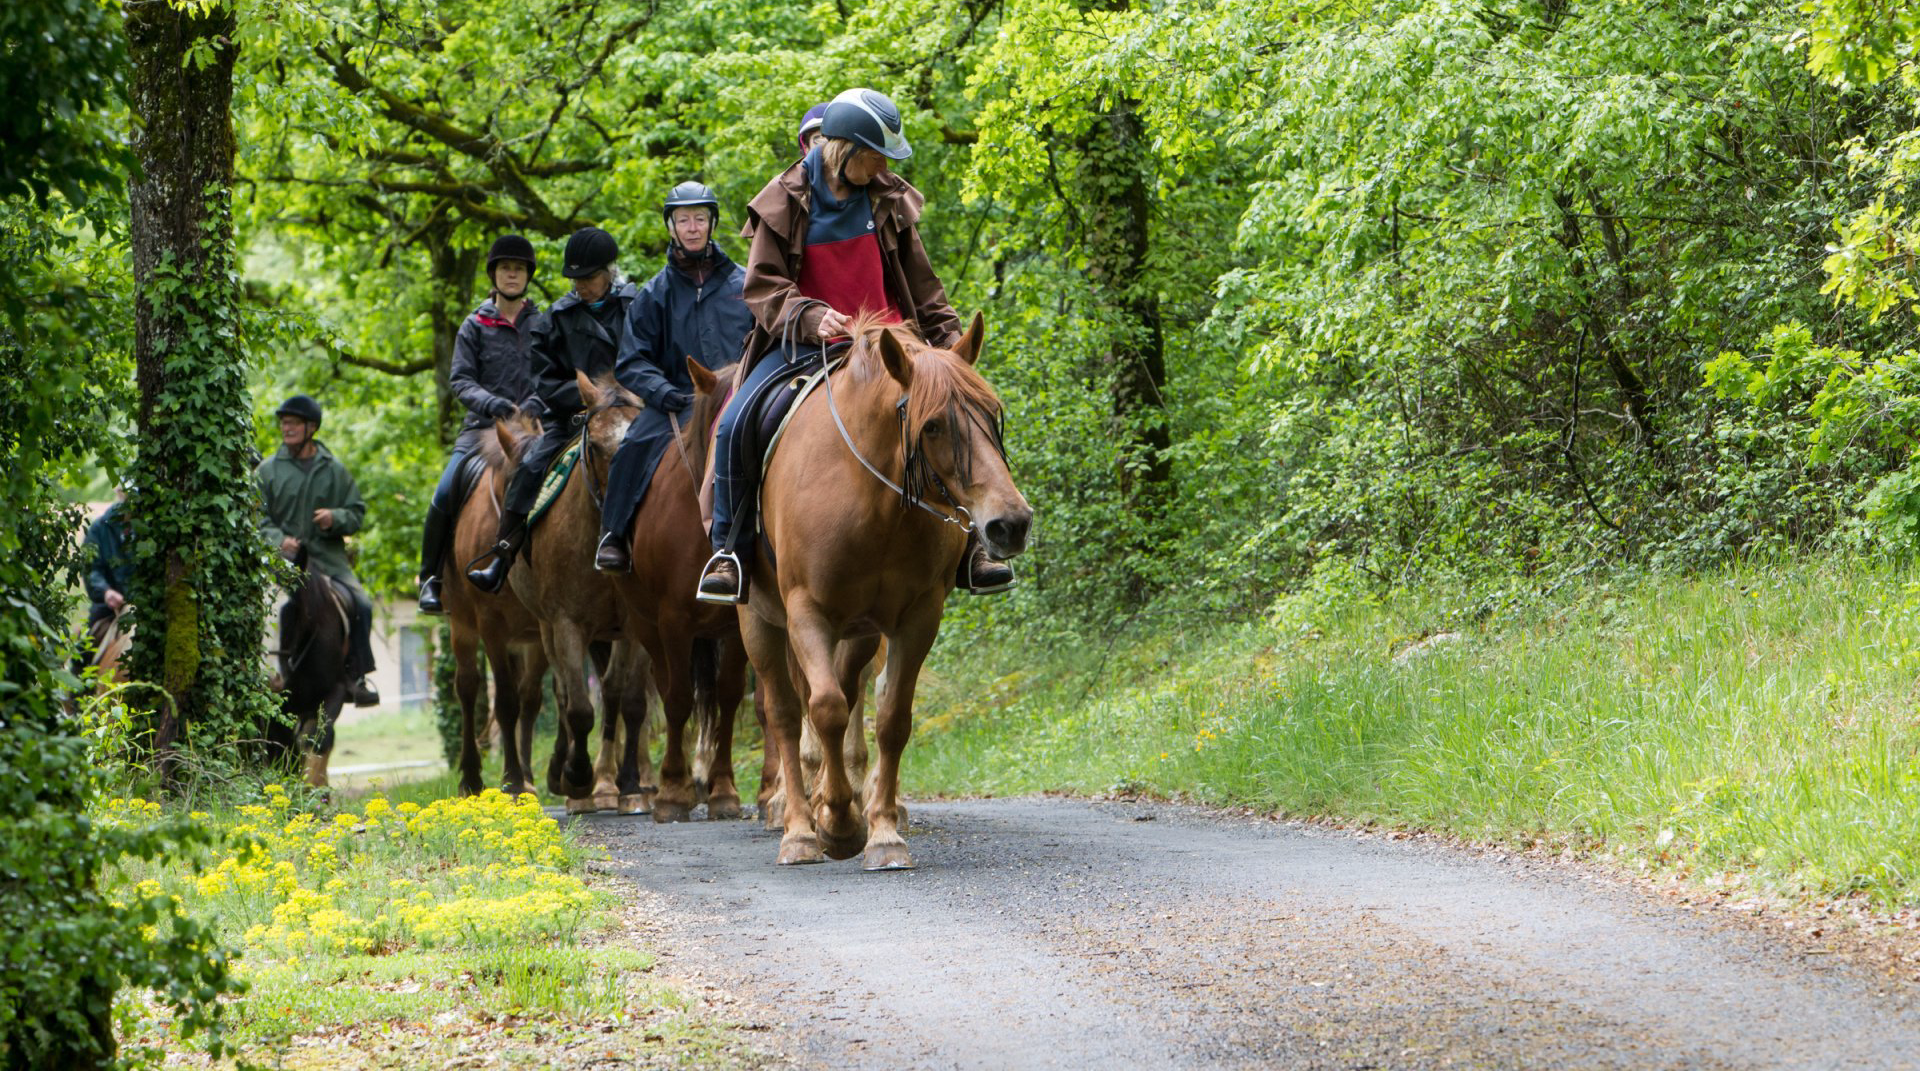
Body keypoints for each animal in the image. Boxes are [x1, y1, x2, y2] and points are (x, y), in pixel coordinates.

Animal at [445, 412, 552, 797]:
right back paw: (471, 778)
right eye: (520, 485)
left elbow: (530, 700)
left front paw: (526, 778)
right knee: (467, 688)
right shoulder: (491, 626)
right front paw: (512, 781)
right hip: (461, 626)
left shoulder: (542, 631)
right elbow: (505, 702)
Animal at [496, 384, 656, 814]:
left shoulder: (635, 628)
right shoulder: (566, 624)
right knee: (566, 694)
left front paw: (630, 786)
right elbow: (580, 709)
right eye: (596, 445)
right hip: (546, 629)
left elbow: (630, 701)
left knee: (611, 691)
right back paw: (570, 780)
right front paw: (577, 777)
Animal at [590, 366, 749, 823]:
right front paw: (673, 792)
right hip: (646, 626)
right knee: (662, 686)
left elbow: (729, 696)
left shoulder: (736, 626)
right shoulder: (674, 621)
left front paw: (723, 790)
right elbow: (677, 698)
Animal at [738, 314, 1031, 869]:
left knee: (845, 692)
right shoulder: (807, 612)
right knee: (786, 713)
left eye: (992, 414)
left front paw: (881, 834)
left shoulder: (917, 617)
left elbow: (891, 718)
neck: (870, 501)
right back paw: (798, 828)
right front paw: (837, 825)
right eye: (932, 424)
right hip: (760, 621)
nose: (1011, 524)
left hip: (859, 632)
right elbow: (825, 709)